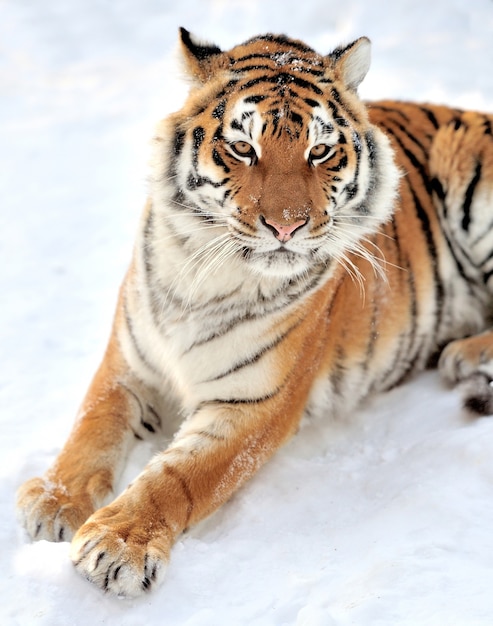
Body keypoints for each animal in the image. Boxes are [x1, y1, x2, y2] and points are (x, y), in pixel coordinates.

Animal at [17, 28, 492, 596]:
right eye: (243, 147)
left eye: (320, 151)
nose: (287, 226)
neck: (204, 275)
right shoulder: (126, 367)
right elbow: (91, 428)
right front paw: (54, 501)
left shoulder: (255, 401)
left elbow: (179, 476)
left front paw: (119, 544)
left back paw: (465, 356)